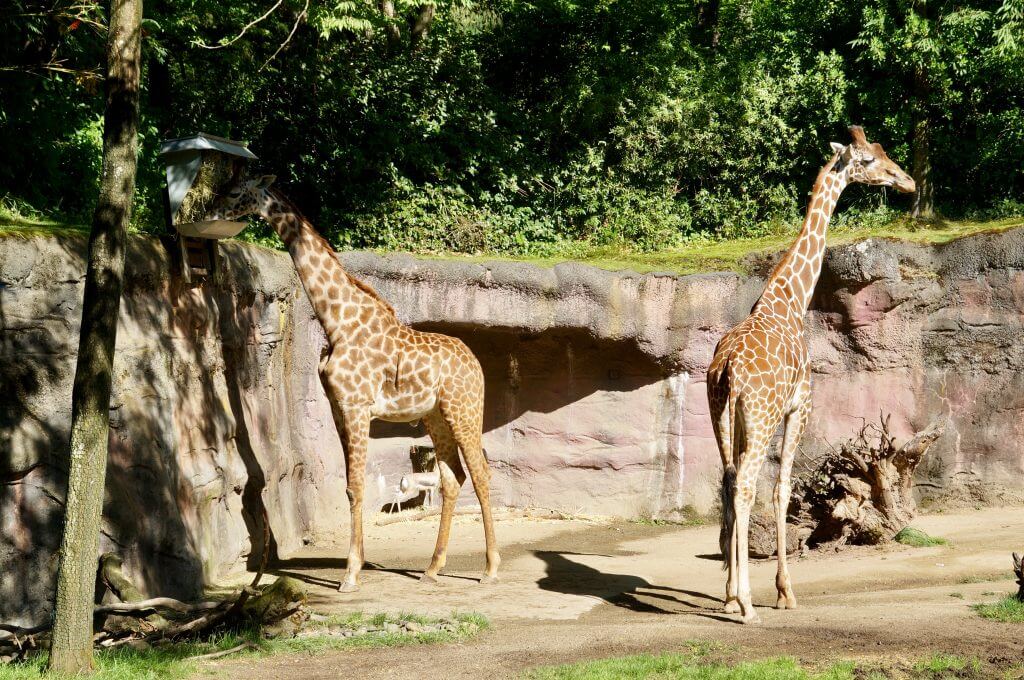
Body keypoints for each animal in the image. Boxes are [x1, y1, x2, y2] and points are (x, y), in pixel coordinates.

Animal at [203, 174, 499, 589]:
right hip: (436, 416)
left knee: (481, 473)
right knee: (453, 477)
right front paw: (354, 565)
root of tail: (477, 365)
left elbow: (358, 486)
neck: (337, 321)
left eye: (233, 192)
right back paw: (432, 568)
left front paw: (350, 575)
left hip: (464, 411)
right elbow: (348, 487)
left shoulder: (358, 407)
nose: (209, 212)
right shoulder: (338, 408)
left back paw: (490, 568)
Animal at [708, 124, 917, 622]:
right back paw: (749, 605)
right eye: (868, 160)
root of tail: (727, 369)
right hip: (760, 418)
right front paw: (784, 591)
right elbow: (783, 489)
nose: (906, 181)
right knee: (746, 487)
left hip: (720, 417)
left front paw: (729, 593)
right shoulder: (799, 406)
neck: (791, 299)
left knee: (729, 483)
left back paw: (732, 597)